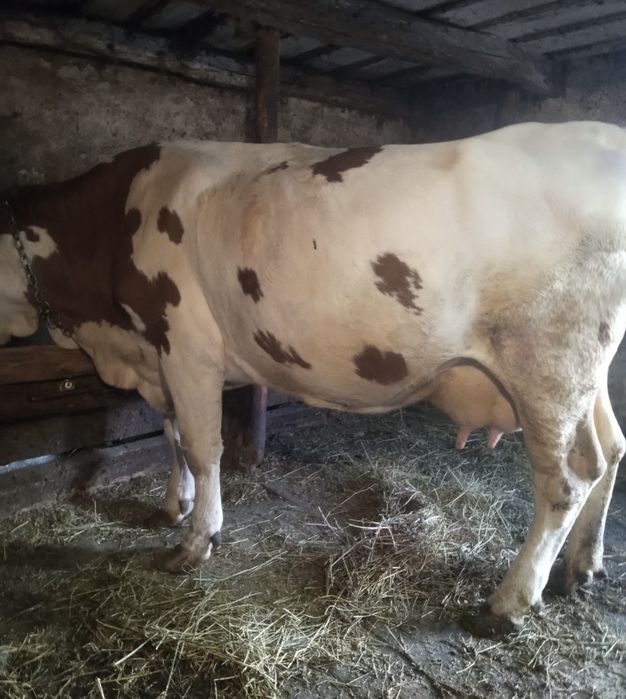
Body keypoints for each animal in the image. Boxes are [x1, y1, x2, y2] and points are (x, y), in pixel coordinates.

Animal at [0, 121, 624, 635]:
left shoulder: (185, 343)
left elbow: (202, 446)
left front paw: (196, 541)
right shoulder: (158, 354)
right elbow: (172, 435)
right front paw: (173, 506)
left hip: (548, 365)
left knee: (566, 480)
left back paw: (508, 603)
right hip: (586, 375)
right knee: (610, 450)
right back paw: (581, 567)